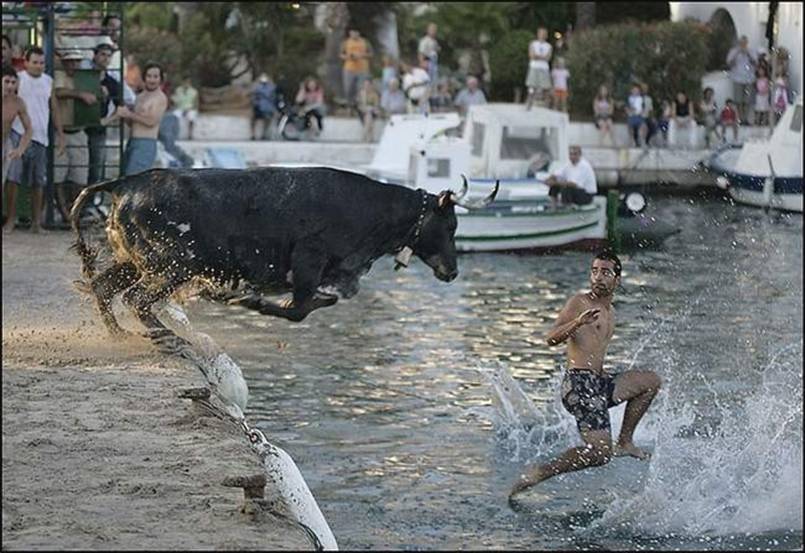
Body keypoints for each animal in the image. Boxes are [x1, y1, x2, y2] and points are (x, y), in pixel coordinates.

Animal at [70, 166, 498, 353]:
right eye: (450, 225)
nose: (452, 271)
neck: (368, 208)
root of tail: (126, 182)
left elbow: (318, 302)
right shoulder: (309, 261)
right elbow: (299, 309)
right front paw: (247, 300)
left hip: (135, 261)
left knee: (103, 287)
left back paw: (120, 334)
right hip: (173, 264)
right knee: (137, 299)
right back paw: (168, 336)